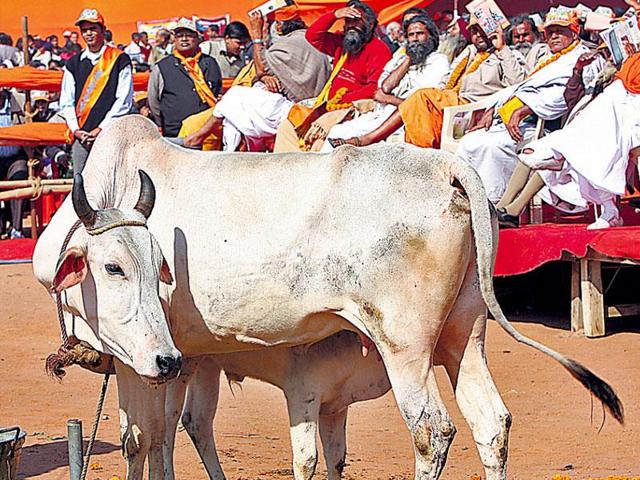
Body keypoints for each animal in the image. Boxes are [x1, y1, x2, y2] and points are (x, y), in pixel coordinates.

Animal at [32, 114, 624, 478]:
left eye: (130, 266)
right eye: (114, 266)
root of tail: (445, 165)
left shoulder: (140, 358)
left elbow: (140, 439)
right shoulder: (180, 358)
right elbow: (164, 439)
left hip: (405, 347)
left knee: (432, 431)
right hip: (464, 335)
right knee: (491, 423)